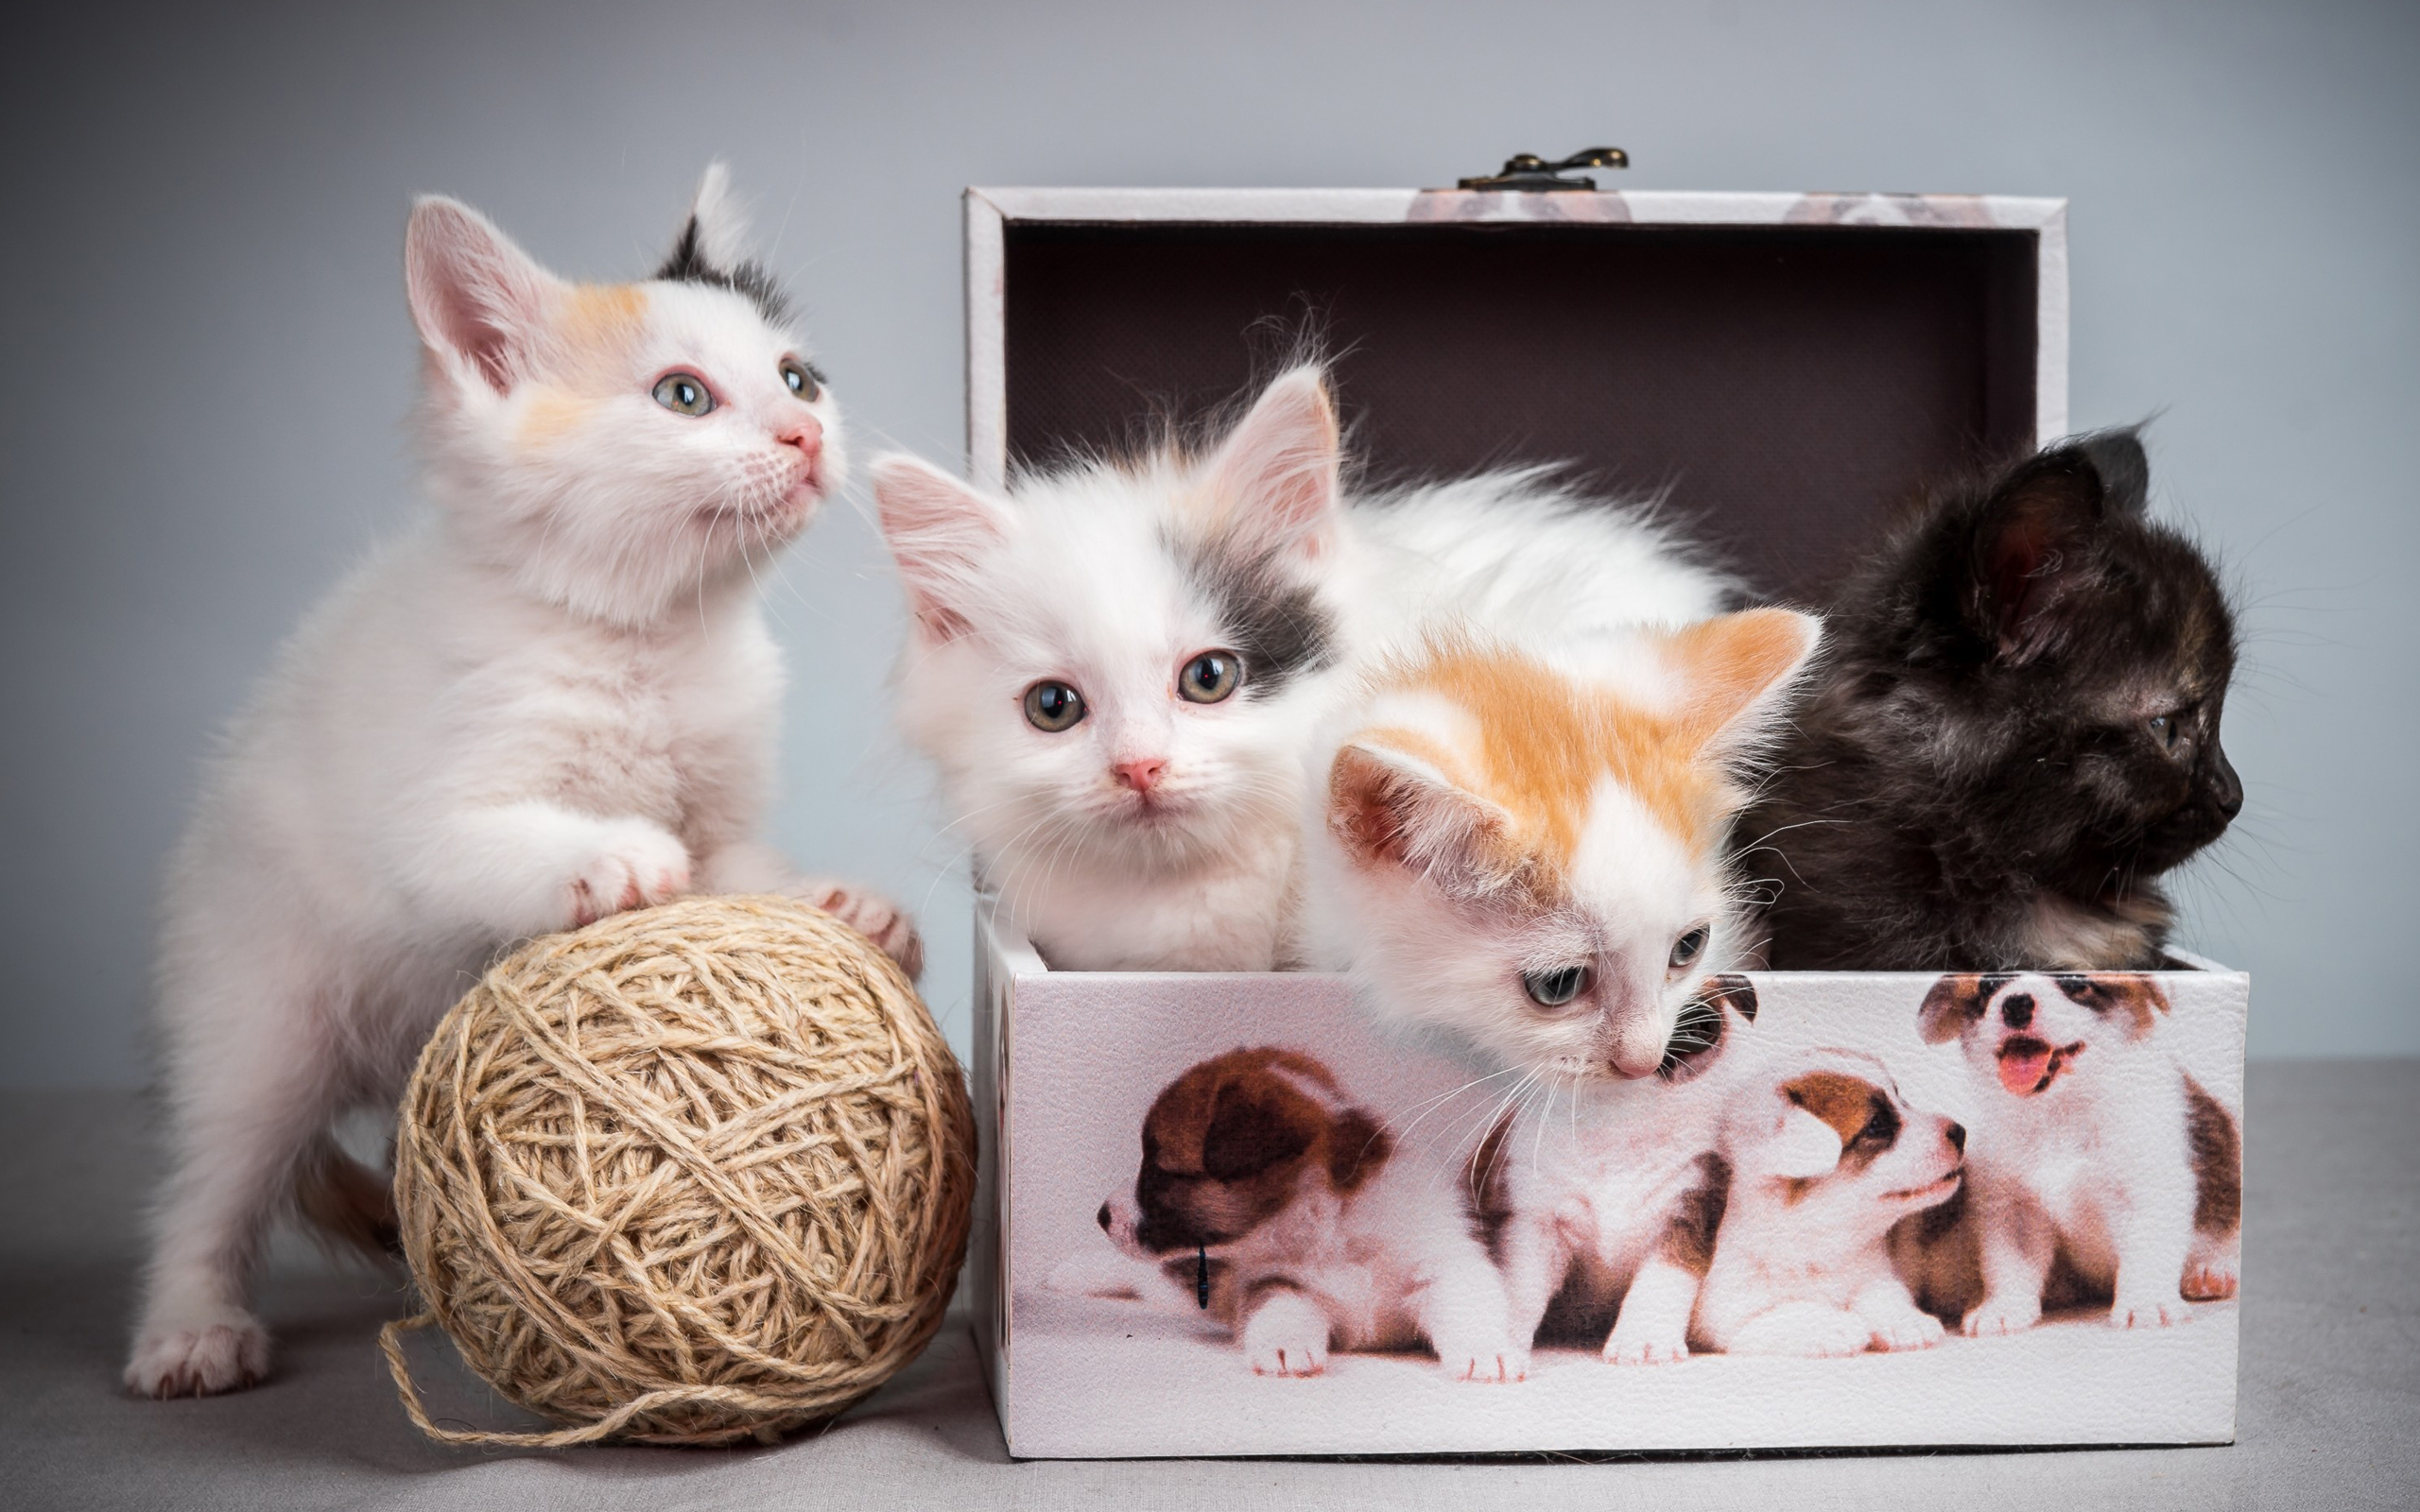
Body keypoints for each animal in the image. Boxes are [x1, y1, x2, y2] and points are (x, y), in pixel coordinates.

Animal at [134, 162, 924, 1393]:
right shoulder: (423, 806)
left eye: (798, 378)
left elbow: (735, 865)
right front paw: (610, 853)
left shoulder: (726, 799)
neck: (647, 638)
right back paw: (189, 1324)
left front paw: (841, 902)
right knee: (217, 1168)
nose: (804, 434)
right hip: (259, 997)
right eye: (684, 397)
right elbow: (477, 843)